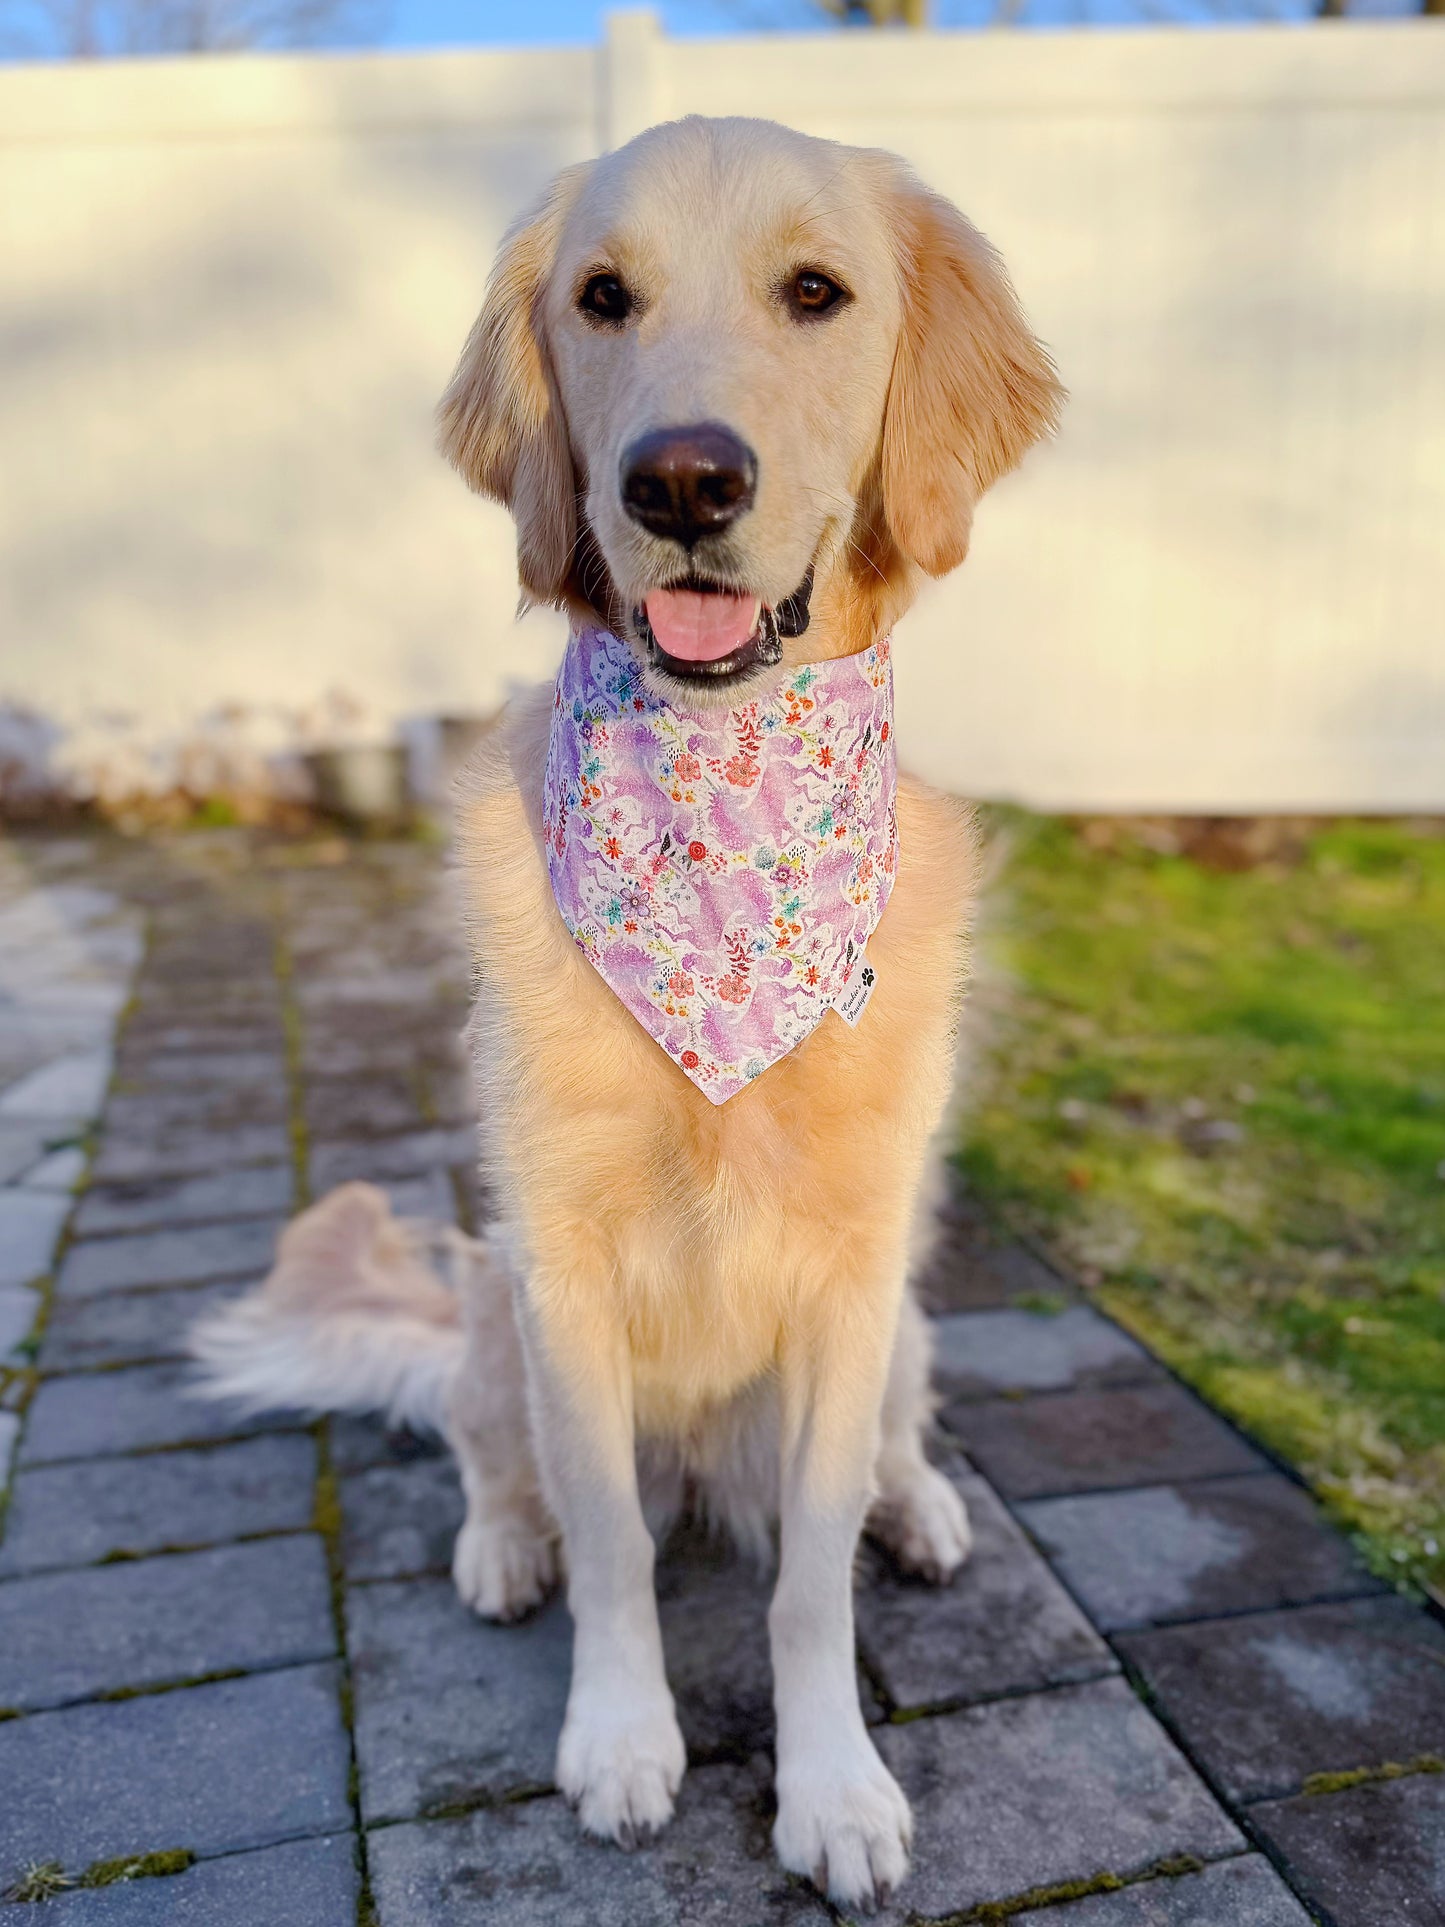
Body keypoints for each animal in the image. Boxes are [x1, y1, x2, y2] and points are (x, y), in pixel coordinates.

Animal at [195, 112, 1063, 1903]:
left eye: (817, 291)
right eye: (603, 297)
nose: (680, 480)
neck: (719, 829)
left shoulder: (853, 1277)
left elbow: (809, 1578)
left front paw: (835, 1787)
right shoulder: (560, 1270)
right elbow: (607, 1539)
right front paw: (617, 1736)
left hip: (904, 1318)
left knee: (892, 1444)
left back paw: (921, 1506)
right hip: (483, 1302)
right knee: (489, 1453)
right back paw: (496, 1541)